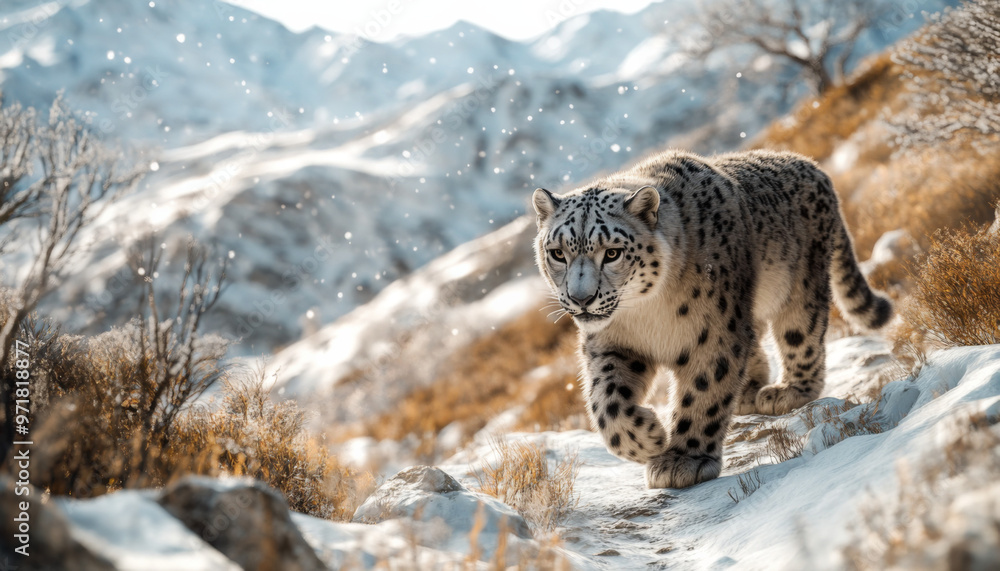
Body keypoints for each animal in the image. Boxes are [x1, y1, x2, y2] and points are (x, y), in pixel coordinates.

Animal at [532, 149, 892, 489]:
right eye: (558, 253)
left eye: (612, 253)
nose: (582, 300)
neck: (647, 312)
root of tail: (813, 165)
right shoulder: (612, 343)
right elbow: (605, 400)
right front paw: (647, 438)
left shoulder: (714, 333)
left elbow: (704, 393)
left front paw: (683, 460)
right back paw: (748, 392)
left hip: (799, 288)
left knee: (801, 336)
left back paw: (787, 391)